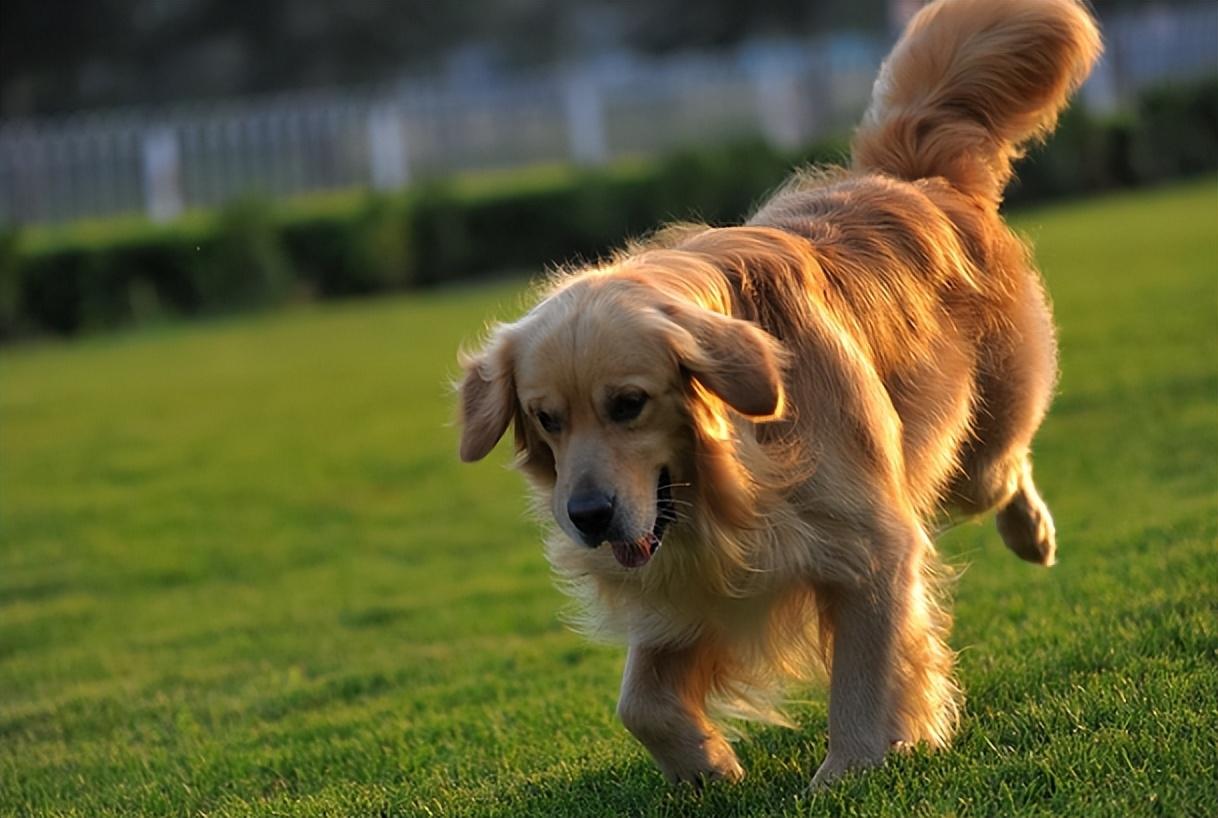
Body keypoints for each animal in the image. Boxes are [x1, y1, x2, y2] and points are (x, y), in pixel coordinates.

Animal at [455, 0, 1096, 788]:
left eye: (629, 404)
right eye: (546, 419)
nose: (588, 518)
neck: (741, 464)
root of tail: (910, 179)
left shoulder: (870, 545)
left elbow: (864, 675)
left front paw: (853, 770)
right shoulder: (699, 578)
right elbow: (640, 703)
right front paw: (707, 768)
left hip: (975, 451)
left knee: (1004, 469)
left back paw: (1032, 533)